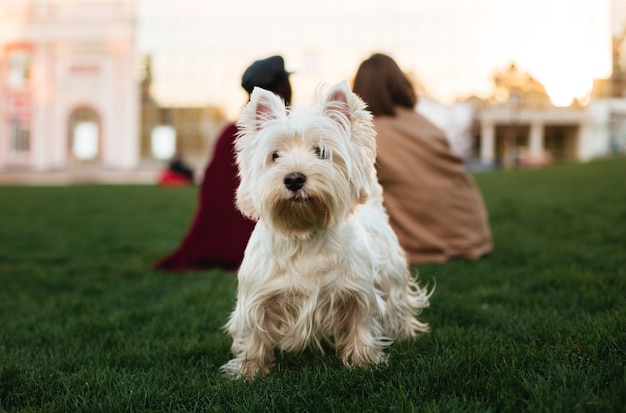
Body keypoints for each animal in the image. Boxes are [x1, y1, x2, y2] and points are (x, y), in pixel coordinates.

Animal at [218, 79, 428, 378]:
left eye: (321, 153)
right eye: (275, 156)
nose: (294, 179)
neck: (304, 232)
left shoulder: (358, 292)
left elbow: (362, 323)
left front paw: (365, 361)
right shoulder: (257, 297)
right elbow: (254, 334)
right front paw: (249, 371)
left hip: (392, 274)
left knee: (399, 303)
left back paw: (408, 333)